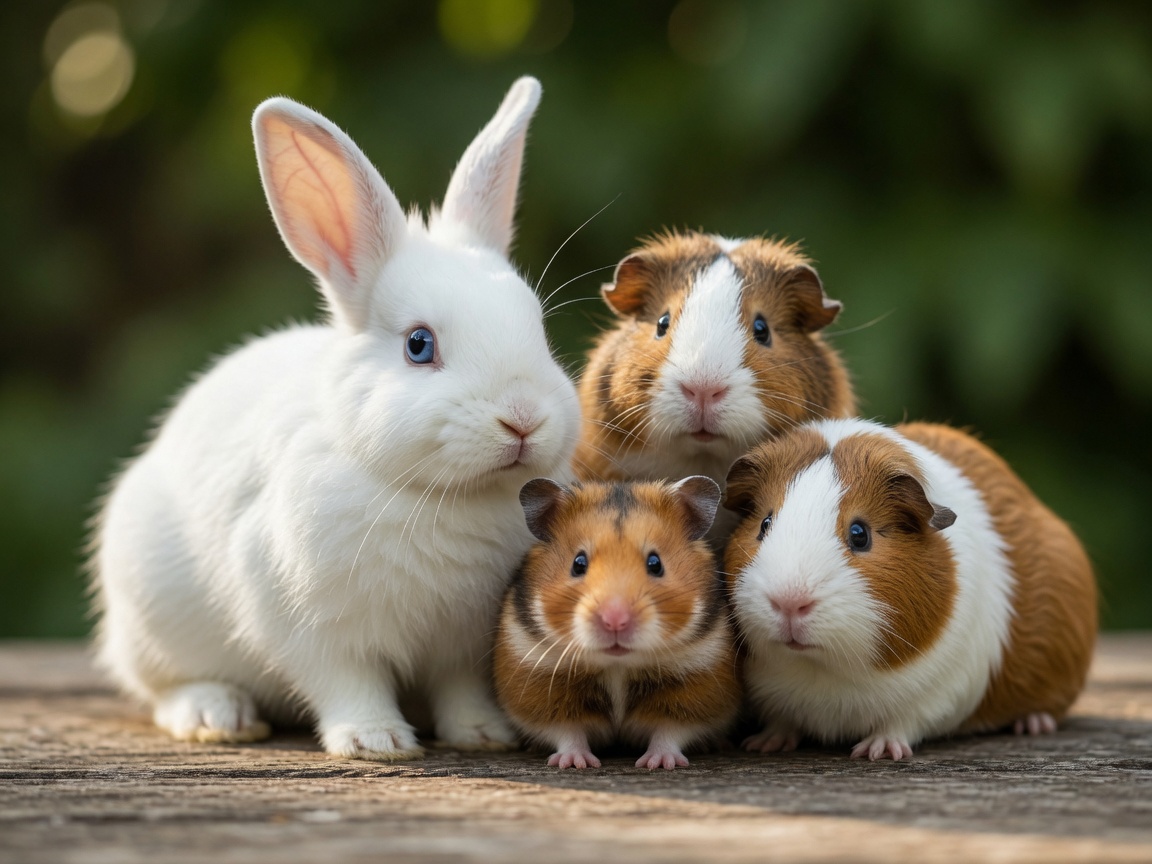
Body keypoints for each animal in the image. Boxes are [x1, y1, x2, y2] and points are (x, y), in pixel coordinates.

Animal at [90, 76, 581, 761]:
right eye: (419, 345)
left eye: (538, 328)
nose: (524, 418)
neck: (442, 496)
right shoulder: (306, 619)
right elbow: (347, 681)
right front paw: (376, 741)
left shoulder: (462, 642)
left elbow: (460, 688)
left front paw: (484, 735)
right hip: (151, 617)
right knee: (166, 685)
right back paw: (216, 714)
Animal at [493, 476, 741, 769]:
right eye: (578, 563)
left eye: (655, 563)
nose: (615, 621)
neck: (617, 666)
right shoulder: (538, 685)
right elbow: (567, 730)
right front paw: (575, 763)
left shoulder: (699, 687)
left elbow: (670, 730)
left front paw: (658, 763)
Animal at [723, 418, 1097, 760]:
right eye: (764, 524)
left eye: (860, 534)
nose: (789, 603)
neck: (820, 671)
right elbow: (782, 721)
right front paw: (763, 745)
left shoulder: (936, 696)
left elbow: (902, 723)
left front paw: (878, 752)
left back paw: (1033, 724)